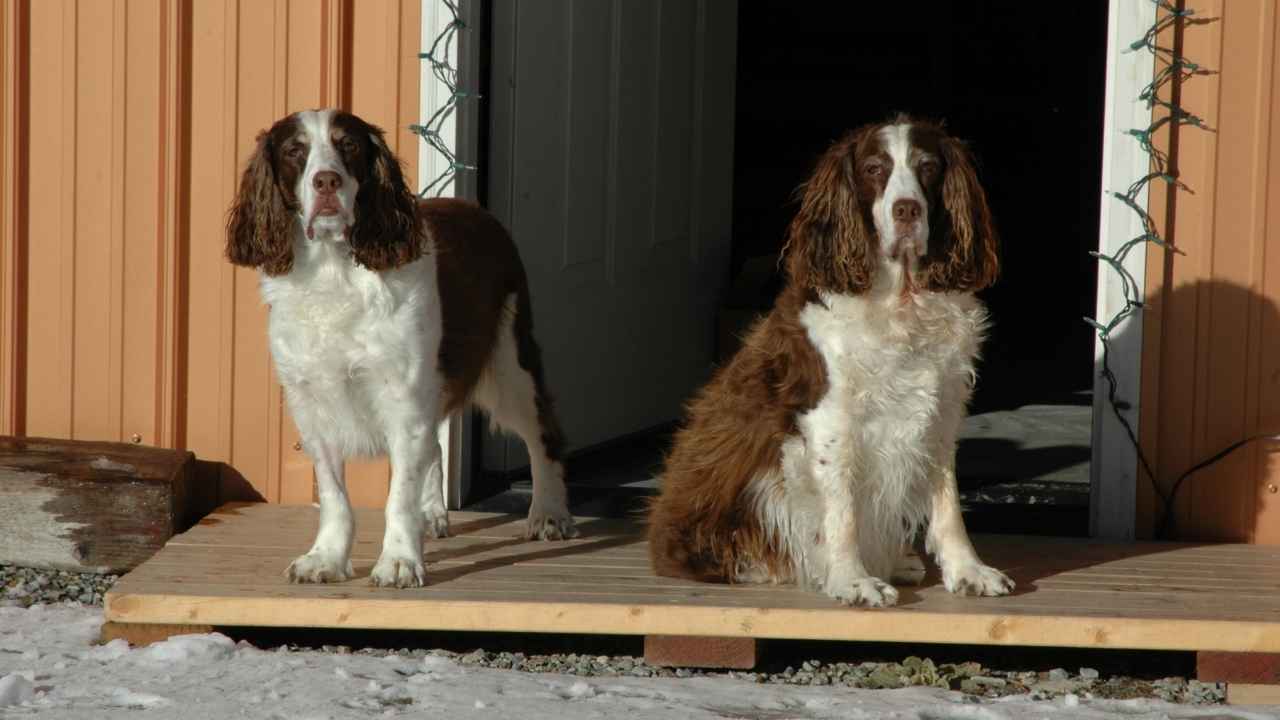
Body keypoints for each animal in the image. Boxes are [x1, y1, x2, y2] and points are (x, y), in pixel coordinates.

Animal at [225, 107, 576, 589]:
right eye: (295, 150)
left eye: (349, 145)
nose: (327, 182)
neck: (334, 270)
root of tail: (479, 212)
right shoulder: (312, 404)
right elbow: (334, 493)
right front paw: (326, 558)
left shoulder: (402, 395)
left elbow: (398, 494)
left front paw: (398, 561)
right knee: (437, 445)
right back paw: (433, 514)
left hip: (509, 364)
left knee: (542, 434)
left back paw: (548, 514)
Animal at [645, 113, 1013, 604]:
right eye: (874, 169)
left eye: (928, 167)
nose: (907, 210)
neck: (901, 302)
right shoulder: (829, 419)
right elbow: (842, 512)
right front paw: (852, 580)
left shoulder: (941, 410)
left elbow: (947, 503)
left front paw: (968, 570)